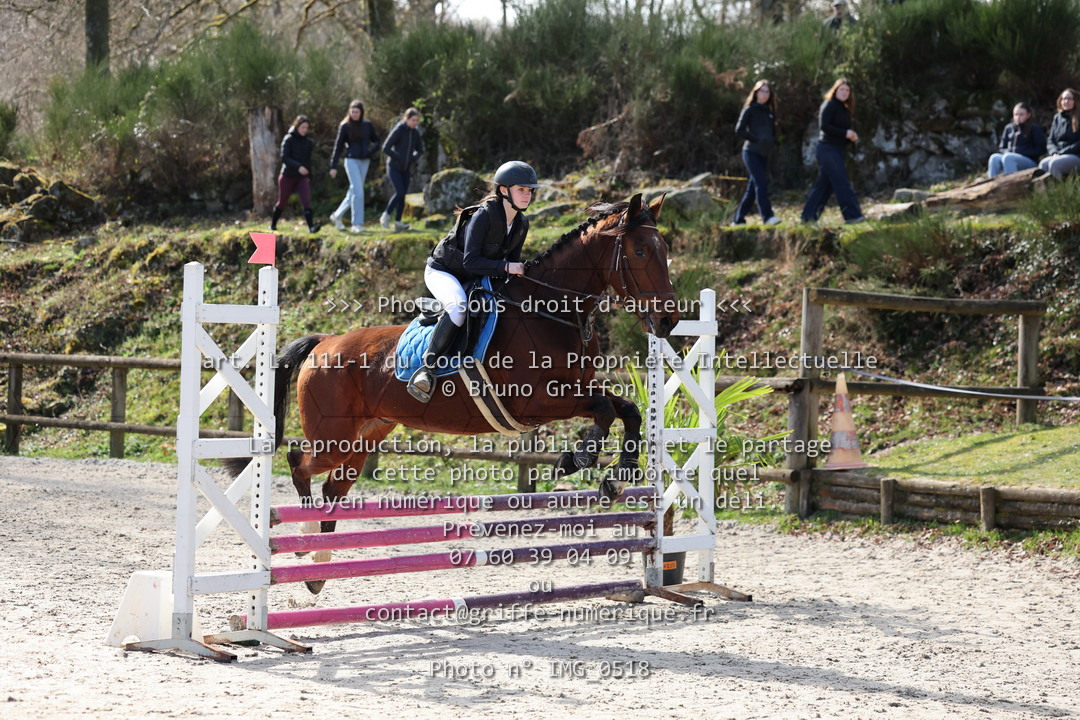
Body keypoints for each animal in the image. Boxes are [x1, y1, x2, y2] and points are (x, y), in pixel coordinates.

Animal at [258, 193, 677, 593]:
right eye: (641, 251)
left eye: (664, 250)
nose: (668, 320)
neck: (549, 311)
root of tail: (325, 341)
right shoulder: (536, 399)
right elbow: (605, 408)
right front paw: (577, 459)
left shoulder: (576, 388)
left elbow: (627, 409)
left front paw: (618, 476)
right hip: (334, 437)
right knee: (299, 462)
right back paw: (304, 542)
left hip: (364, 438)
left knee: (332, 487)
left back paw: (317, 567)